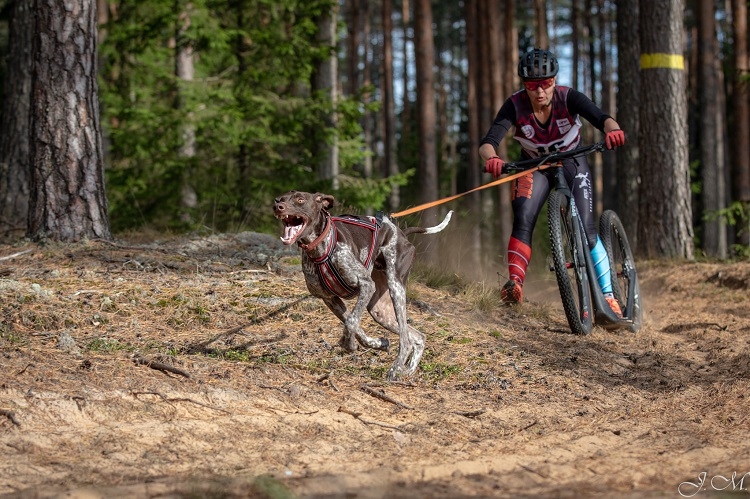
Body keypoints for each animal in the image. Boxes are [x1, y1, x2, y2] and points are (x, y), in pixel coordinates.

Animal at [274, 190, 452, 378]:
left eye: (300, 200)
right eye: (279, 199)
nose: (278, 207)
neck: (320, 249)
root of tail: (401, 233)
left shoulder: (366, 285)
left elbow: (352, 321)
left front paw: (350, 343)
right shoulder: (330, 299)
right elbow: (355, 327)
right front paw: (376, 343)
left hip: (396, 288)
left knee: (405, 339)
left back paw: (395, 368)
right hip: (379, 311)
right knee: (417, 337)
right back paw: (408, 369)